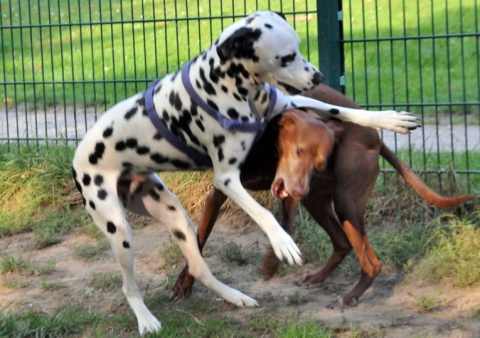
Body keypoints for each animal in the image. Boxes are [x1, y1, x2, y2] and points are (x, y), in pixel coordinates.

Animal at [70, 9, 416, 336]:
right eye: (287, 56)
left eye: (299, 47)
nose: (318, 76)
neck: (226, 84)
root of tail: (77, 160)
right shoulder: (226, 179)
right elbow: (265, 213)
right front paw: (282, 242)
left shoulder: (290, 102)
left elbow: (342, 110)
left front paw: (390, 119)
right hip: (118, 228)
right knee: (128, 285)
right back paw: (146, 320)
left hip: (176, 217)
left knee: (198, 267)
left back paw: (235, 297)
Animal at [172, 84, 472, 308]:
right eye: (298, 151)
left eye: (318, 162)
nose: (299, 188)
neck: (266, 144)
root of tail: (376, 139)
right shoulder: (221, 194)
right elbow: (199, 241)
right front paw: (183, 285)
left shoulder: (289, 196)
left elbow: (283, 226)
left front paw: (271, 263)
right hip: (319, 201)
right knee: (342, 243)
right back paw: (318, 279)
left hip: (343, 203)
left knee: (371, 262)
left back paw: (348, 297)